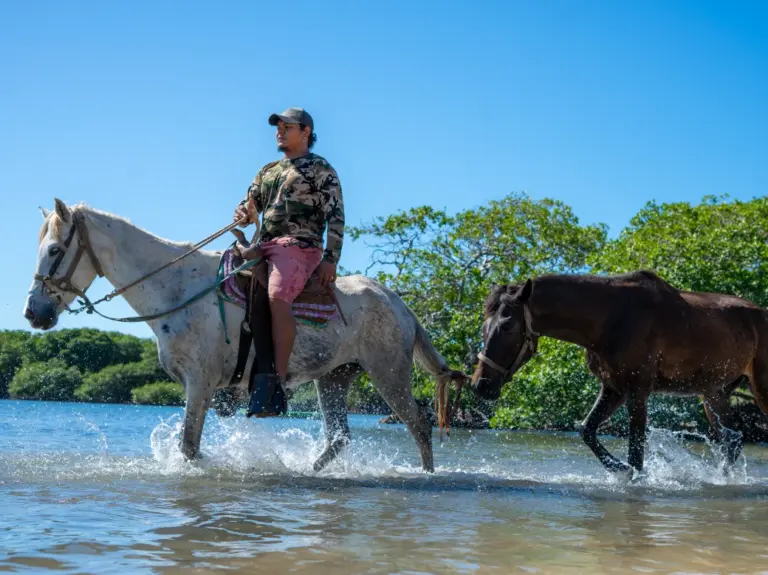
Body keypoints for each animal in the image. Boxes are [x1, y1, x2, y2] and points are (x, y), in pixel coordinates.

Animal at [23, 198, 467, 473]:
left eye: (55, 250)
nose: (33, 312)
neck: (176, 288)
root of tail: (398, 302)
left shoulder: (200, 383)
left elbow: (189, 447)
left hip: (389, 375)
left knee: (419, 426)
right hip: (334, 379)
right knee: (339, 438)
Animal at [470, 270, 768, 478]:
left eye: (507, 326)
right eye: (484, 327)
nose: (480, 385)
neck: (608, 319)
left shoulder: (637, 391)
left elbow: (636, 452)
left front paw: (629, 473)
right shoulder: (614, 388)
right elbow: (587, 430)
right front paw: (618, 468)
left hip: (758, 390)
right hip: (714, 394)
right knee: (732, 441)